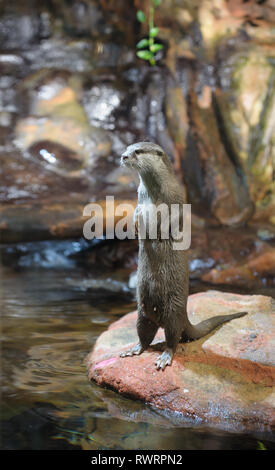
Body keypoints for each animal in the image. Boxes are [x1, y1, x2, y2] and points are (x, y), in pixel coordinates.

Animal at [119, 141, 247, 370]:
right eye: (127, 148)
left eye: (138, 151)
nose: (124, 156)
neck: (154, 194)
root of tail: (184, 316)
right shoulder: (139, 198)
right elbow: (137, 213)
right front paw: (136, 225)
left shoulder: (176, 199)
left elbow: (170, 220)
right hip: (142, 313)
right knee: (145, 335)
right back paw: (134, 349)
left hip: (173, 310)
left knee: (173, 339)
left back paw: (165, 357)